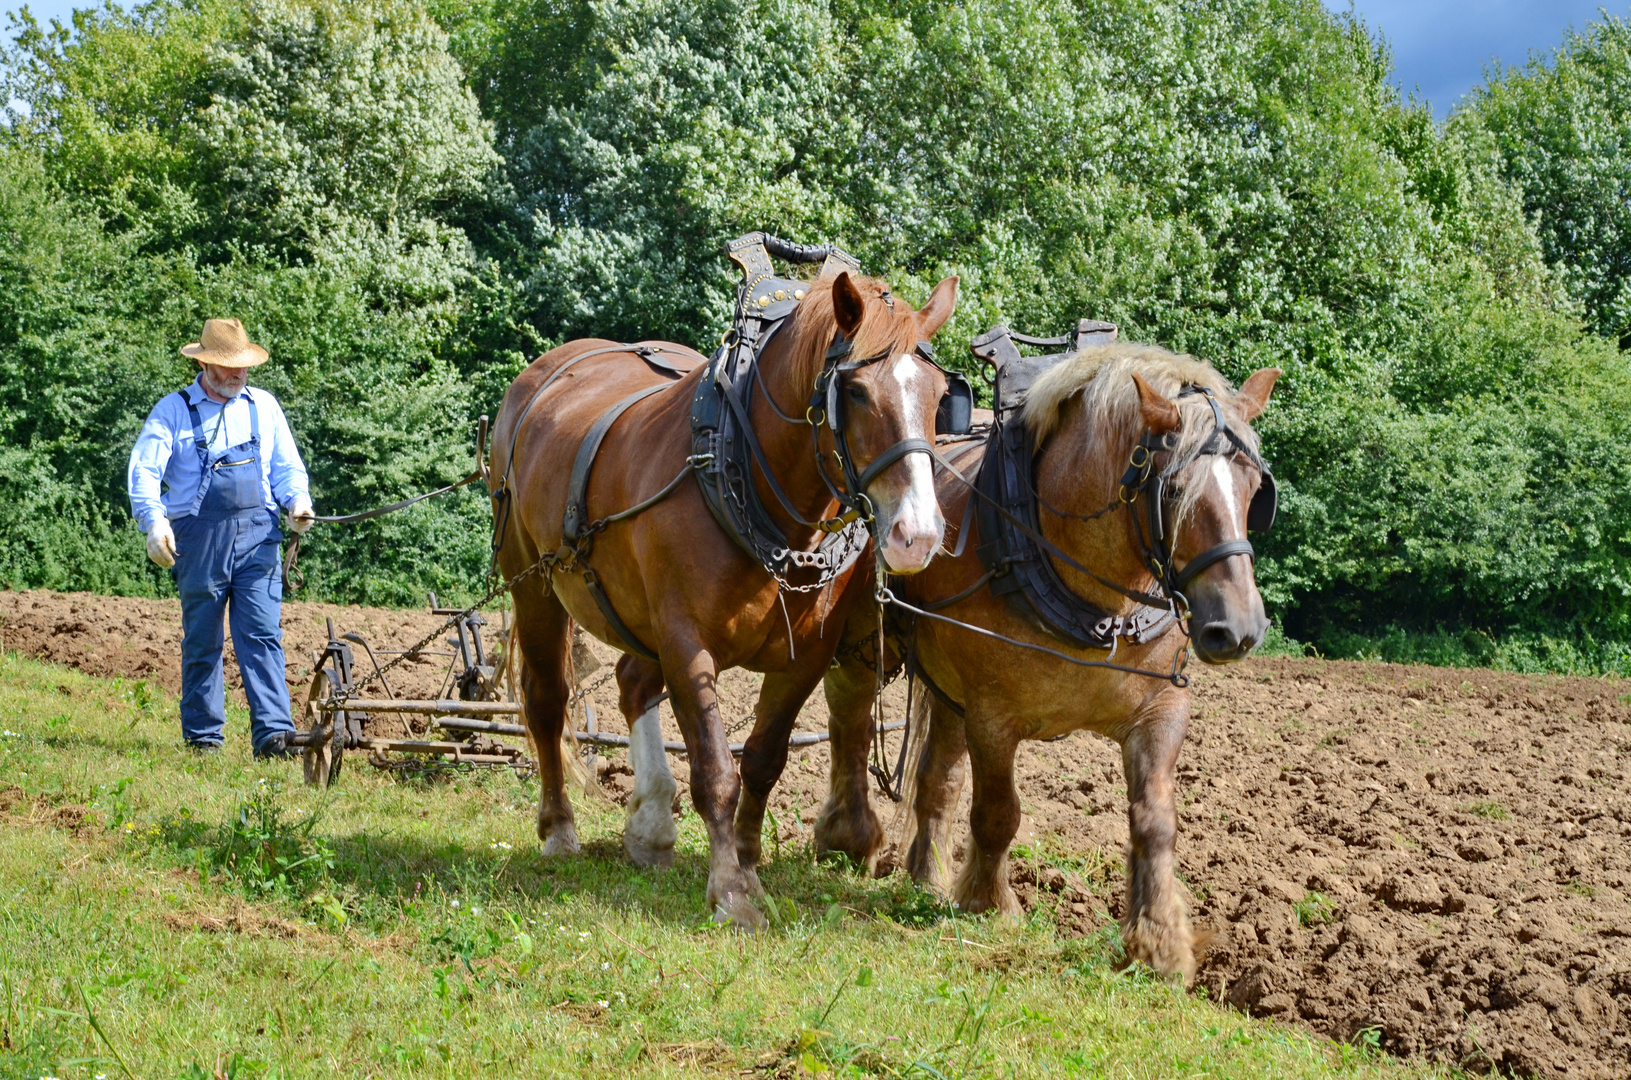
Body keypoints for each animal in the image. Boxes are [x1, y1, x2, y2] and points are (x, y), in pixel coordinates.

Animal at [489, 269, 959, 933]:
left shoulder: (807, 654)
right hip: (531, 581)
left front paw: (746, 862)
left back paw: (651, 826)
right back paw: (559, 829)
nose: (916, 535)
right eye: (857, 391)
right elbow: (715, 769)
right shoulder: (687, 643)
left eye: (941, 394)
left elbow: (763, 760)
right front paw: (731, 892)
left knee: (632, 681)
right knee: (547, 699)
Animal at [808, 344, 1278, 978]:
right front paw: (991, 905)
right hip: (863, 647)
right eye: (1174, 491)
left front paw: (1159, 943)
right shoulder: (992, 715)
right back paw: (849, 836)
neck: (1101, 596)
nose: (1240, 629)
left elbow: (1156, 821)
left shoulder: (1161, 709)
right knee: (852, 727)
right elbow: (998, 812)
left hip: (948, 687)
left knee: (936, 779)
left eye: (1255, 490)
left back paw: (926, 879)